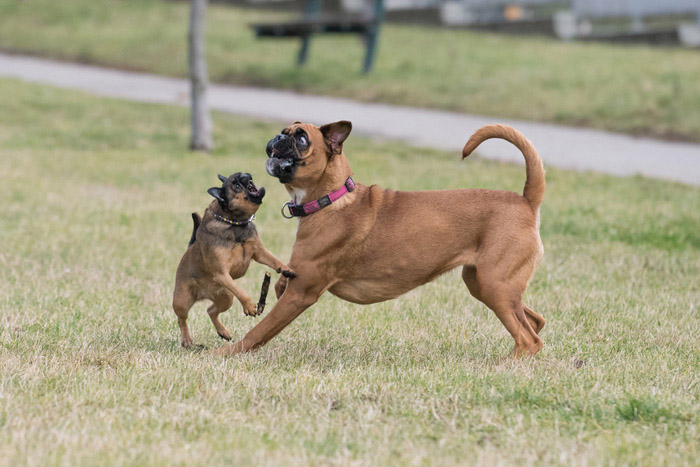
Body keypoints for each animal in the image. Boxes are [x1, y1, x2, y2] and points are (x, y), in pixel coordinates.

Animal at [175, 172, 298, 348]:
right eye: (237, 186)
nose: (244, 174)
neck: (235, 223)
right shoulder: (222, 274)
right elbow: (240, 291)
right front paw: (249, 306)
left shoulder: (259, 253)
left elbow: (274, 260)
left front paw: (285, 268)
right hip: (182, 301)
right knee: (182, 319)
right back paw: (186, 339)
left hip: (226, 298)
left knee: (211, 311)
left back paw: (223, 332)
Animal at [213, 122, 548, 360]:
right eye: (284, 132)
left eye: (301, 139)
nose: (276, 139)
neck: (331, 198)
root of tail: (526, 201)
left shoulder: (300, 294)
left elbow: (259, 331)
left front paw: (226, 353)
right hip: (485, 285)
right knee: (534, 322)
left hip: (494, 286)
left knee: (529, 338)